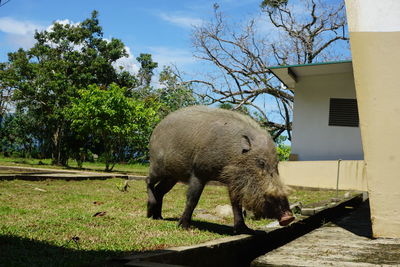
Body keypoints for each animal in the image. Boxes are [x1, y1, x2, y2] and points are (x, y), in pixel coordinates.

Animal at [147, 106, 294, 234]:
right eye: (261, 163)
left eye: (276, 165)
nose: (289, 218)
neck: (234, 153)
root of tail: (155, 129)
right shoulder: (198, 173)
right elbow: (192, 199)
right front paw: (184, 227)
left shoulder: (233, 181)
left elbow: (236, 203)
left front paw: (244, 230)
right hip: (157, 167)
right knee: (148, 181)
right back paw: (149, 214)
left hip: (172, 177)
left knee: (159, 191)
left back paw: (158, 217)